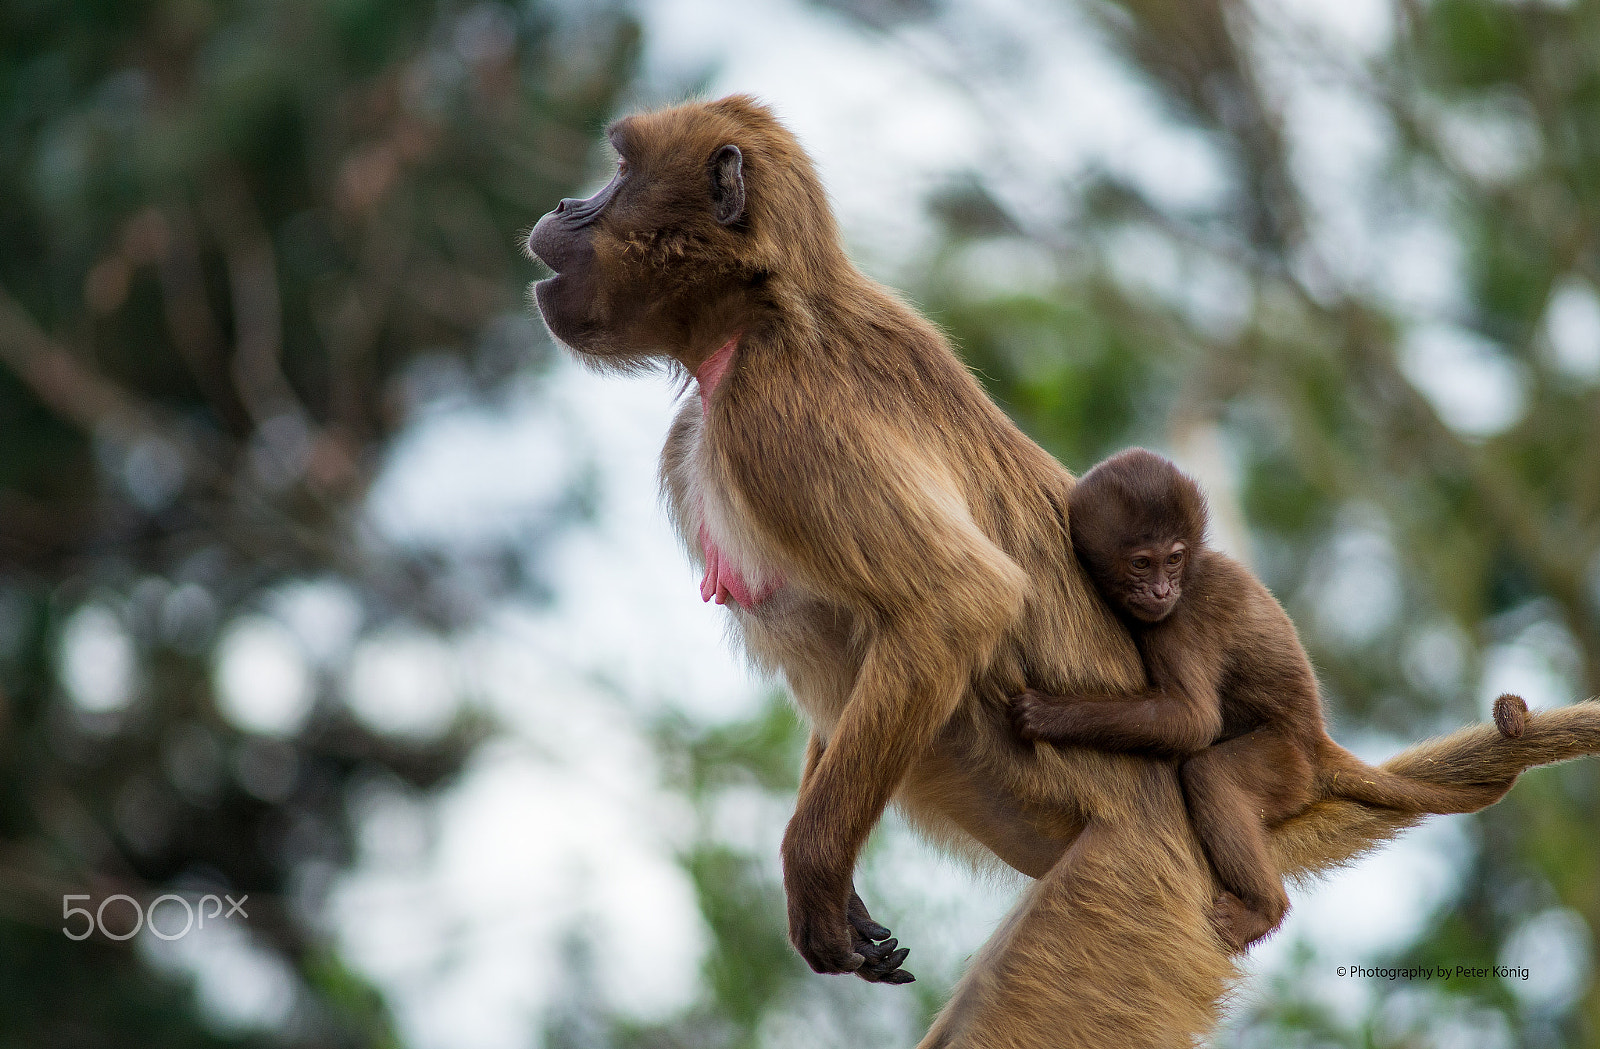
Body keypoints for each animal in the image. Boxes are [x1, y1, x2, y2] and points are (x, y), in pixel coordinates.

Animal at [1011, 450, 1523, 953]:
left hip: (1286, 764)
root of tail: (1315, 739)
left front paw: (1050, 715)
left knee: (1211, 774)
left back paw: (1264, 910)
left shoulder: (1183, 616)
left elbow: (1193, 720)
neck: (1191, 572)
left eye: (1173, 559)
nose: (1161, 589)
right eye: (1141, 563)